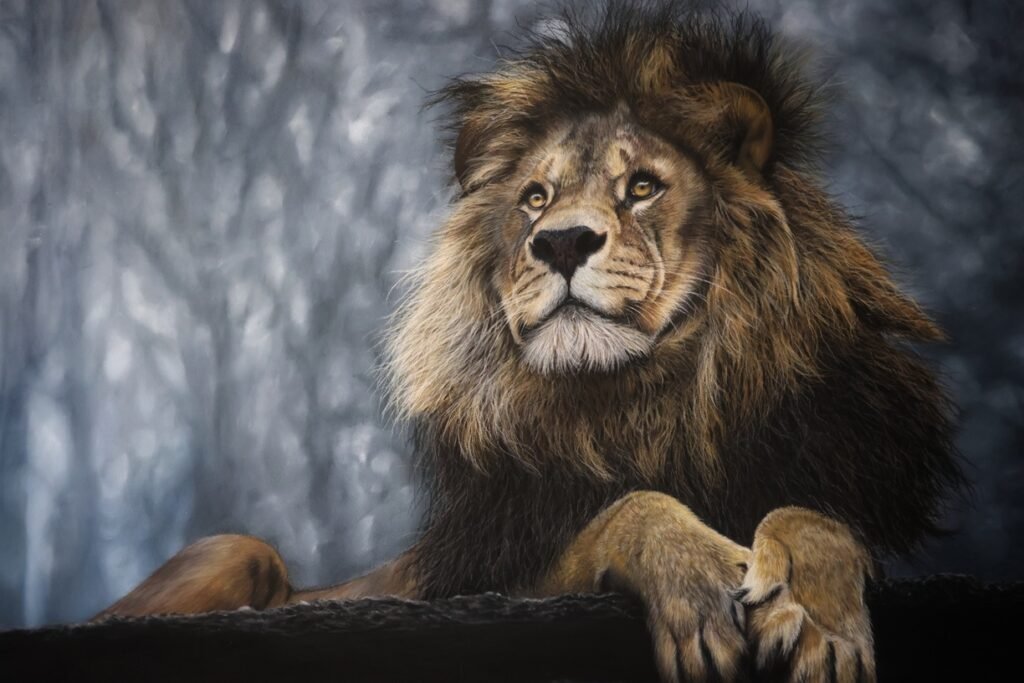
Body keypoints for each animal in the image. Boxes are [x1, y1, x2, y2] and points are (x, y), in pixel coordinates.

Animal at [96, 5, 964, 682]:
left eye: (642, 187)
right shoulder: (488, 579)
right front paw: (703, 575)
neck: (648, 401)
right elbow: (624, 509)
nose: (562, 242)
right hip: (235, 548)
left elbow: (817, 517)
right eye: (535, 198)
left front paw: (816, 617)